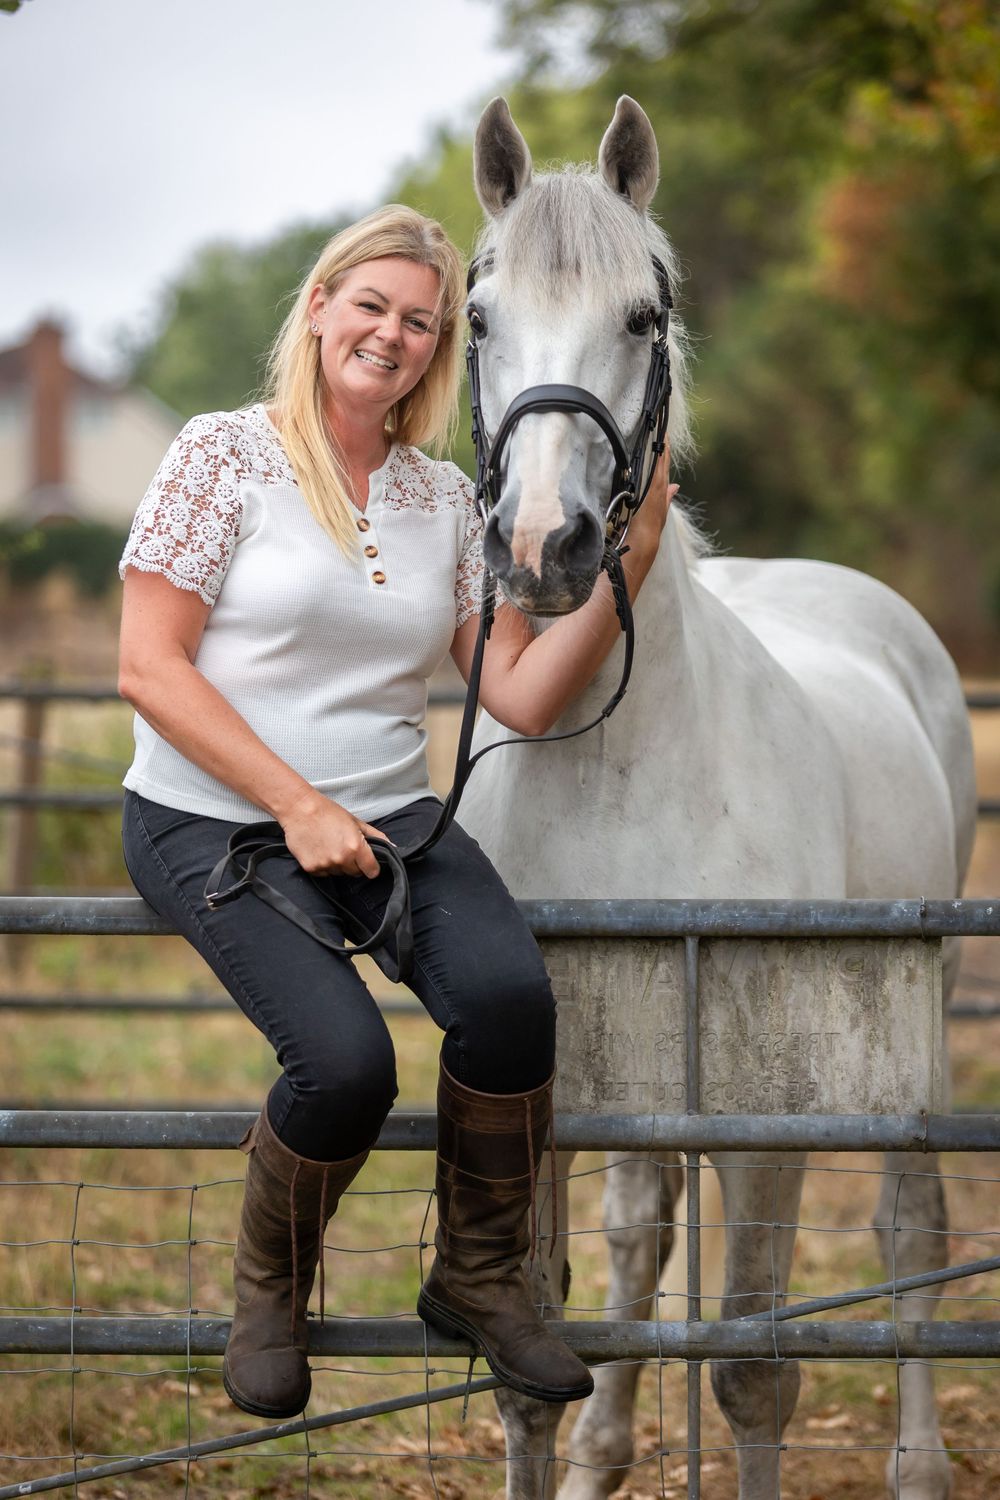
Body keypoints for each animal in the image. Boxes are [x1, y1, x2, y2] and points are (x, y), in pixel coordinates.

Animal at [455, 95, 977, 1500]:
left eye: (643, 315)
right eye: (477, 316)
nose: (542, 549)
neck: (623, 771)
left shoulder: (764, 1112)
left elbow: (751, 1367)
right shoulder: (547, 1099)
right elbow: (533, 1360)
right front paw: (571, 1447)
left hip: (906, 1026)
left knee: (913, 1225)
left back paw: (917, 1467)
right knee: (643, 1232)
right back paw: (604, 1456)